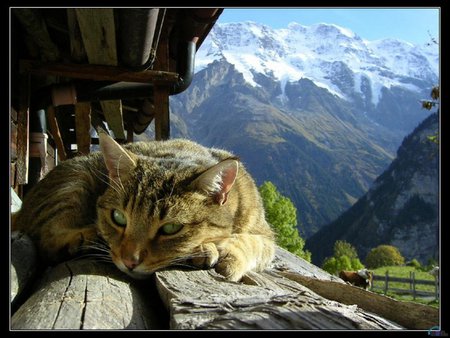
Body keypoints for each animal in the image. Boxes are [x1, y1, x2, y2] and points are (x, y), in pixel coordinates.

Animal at [11, 132, 274, 282]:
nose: (130, 261)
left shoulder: (264, 233)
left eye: (170, 228)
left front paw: (228, 254)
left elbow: (251, 241)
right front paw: (208, 248)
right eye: (118, 217)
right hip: (75, 180)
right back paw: (86, 237)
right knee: (46, 238)